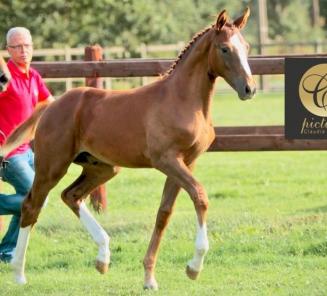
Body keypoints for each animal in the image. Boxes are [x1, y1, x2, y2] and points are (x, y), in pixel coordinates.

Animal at [0, 8, 256, 290]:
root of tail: (50, 106)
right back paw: (19, 274)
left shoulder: (186, 162)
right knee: (31, 206)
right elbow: (200, 195)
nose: (249, 88)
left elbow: (164, 213)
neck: (181, 100)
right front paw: (193, 267)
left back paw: (102, 257)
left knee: (71, 196)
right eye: (224, 49)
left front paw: (149, 278)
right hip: (51, 166)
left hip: (102, 168)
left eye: (246, 47)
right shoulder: (166, 160)